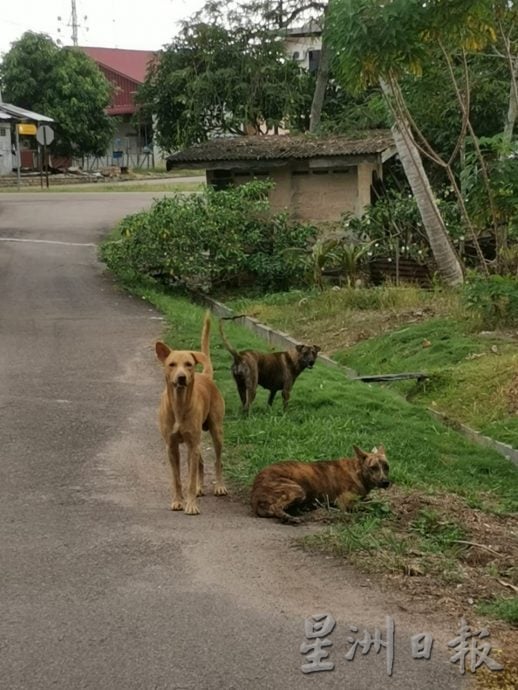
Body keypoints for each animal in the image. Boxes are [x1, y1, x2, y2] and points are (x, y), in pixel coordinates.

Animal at [154, 310, 228, 510]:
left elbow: (190, 478)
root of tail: (206, 375)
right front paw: (178, 501)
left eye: (188, 364)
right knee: (201, 462)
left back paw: (219, 486)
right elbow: (177, 478)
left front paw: (191, 505)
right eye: (172, 364)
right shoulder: (171, 446)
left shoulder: (192, 444)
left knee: (217, 461)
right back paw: (200, 488)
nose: (181, 378)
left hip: (215, 431)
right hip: (196, 442)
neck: (179, 405)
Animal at [251, 446, 390, 520]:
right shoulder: (344, 502)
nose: (386, 482)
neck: (357, 471)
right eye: (373, 468)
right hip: (297, 489)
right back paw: (290, 517)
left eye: (386, 467)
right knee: (276, 507)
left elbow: (368, 501)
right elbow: (370, 505)